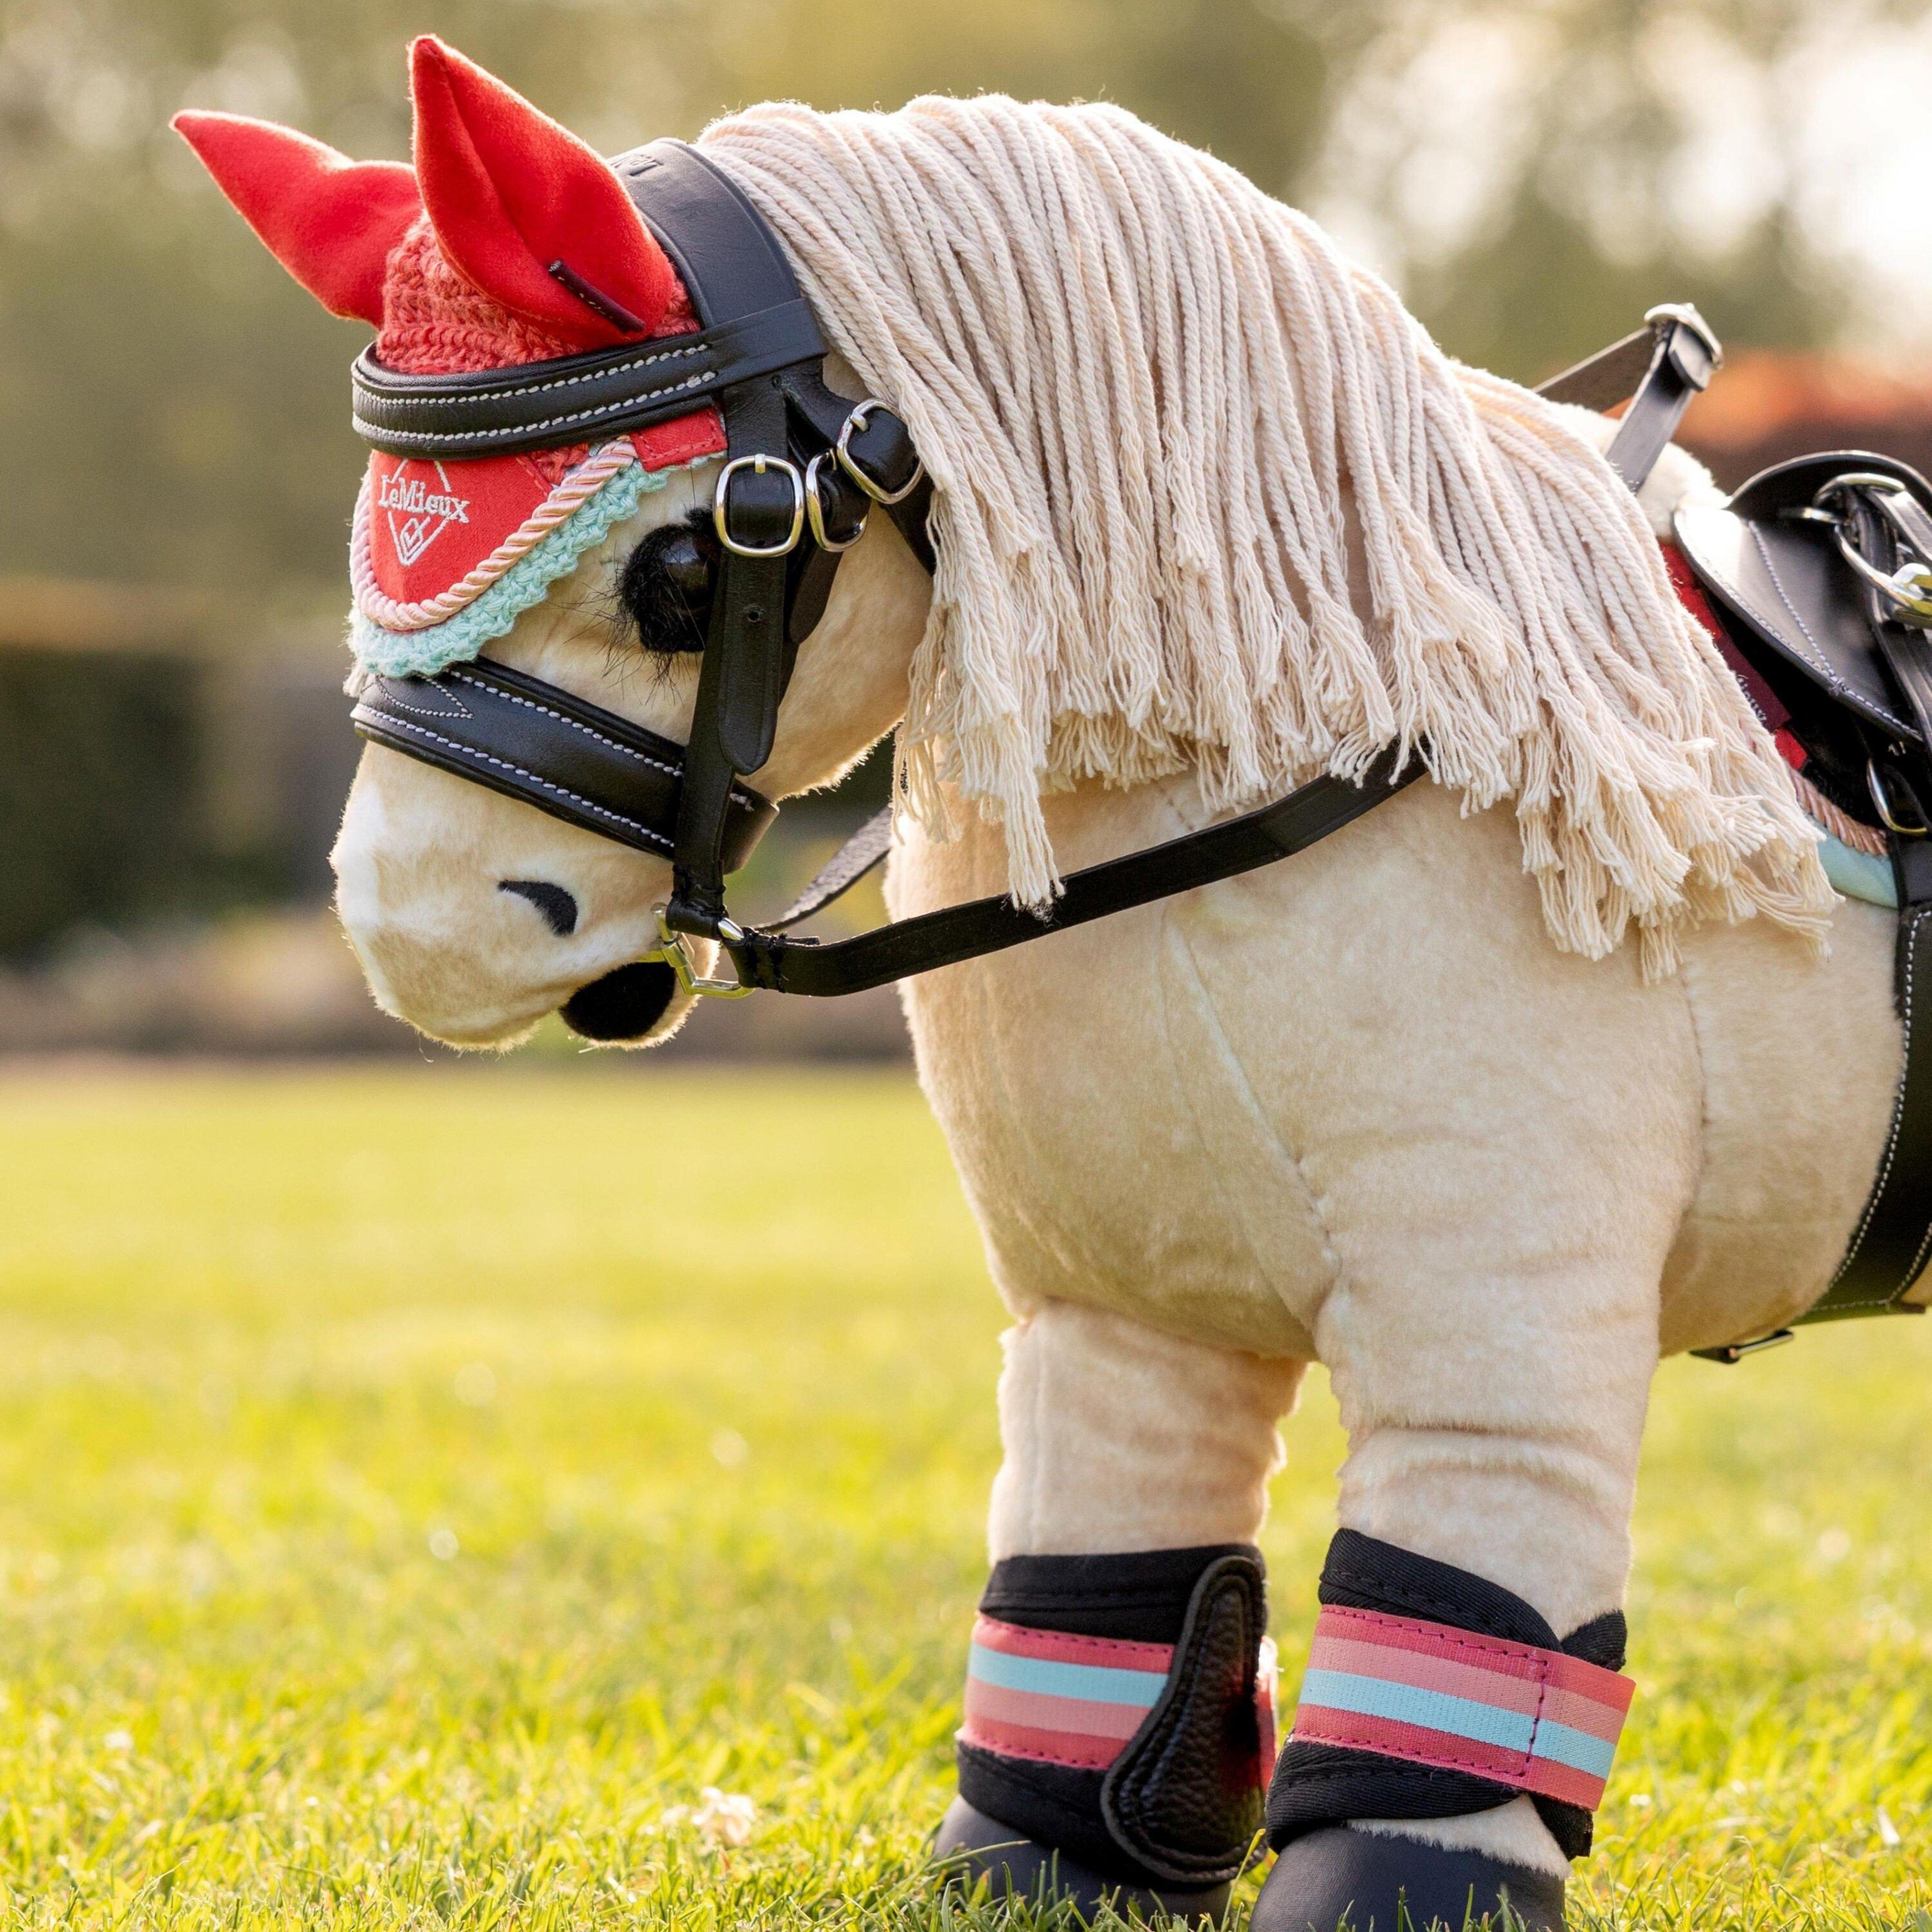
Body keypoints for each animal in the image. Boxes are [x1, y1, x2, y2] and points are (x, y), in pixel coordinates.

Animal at [176, 41, 1922, 1928]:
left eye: (685, 566)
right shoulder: (1117, 1302)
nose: (411, 925)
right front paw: (1038, 1866)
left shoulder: (1501, 1319)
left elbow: (1456, 1622)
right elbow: (1107, 1587)